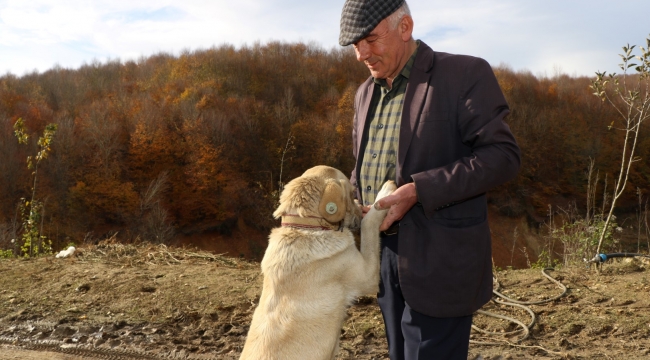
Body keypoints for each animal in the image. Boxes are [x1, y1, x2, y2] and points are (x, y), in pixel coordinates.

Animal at [239, 166, 394, 360]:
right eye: (351, 193)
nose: (360, 208)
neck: (305, 226)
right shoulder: (369, 276)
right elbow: (369, 223)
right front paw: (385, 193)